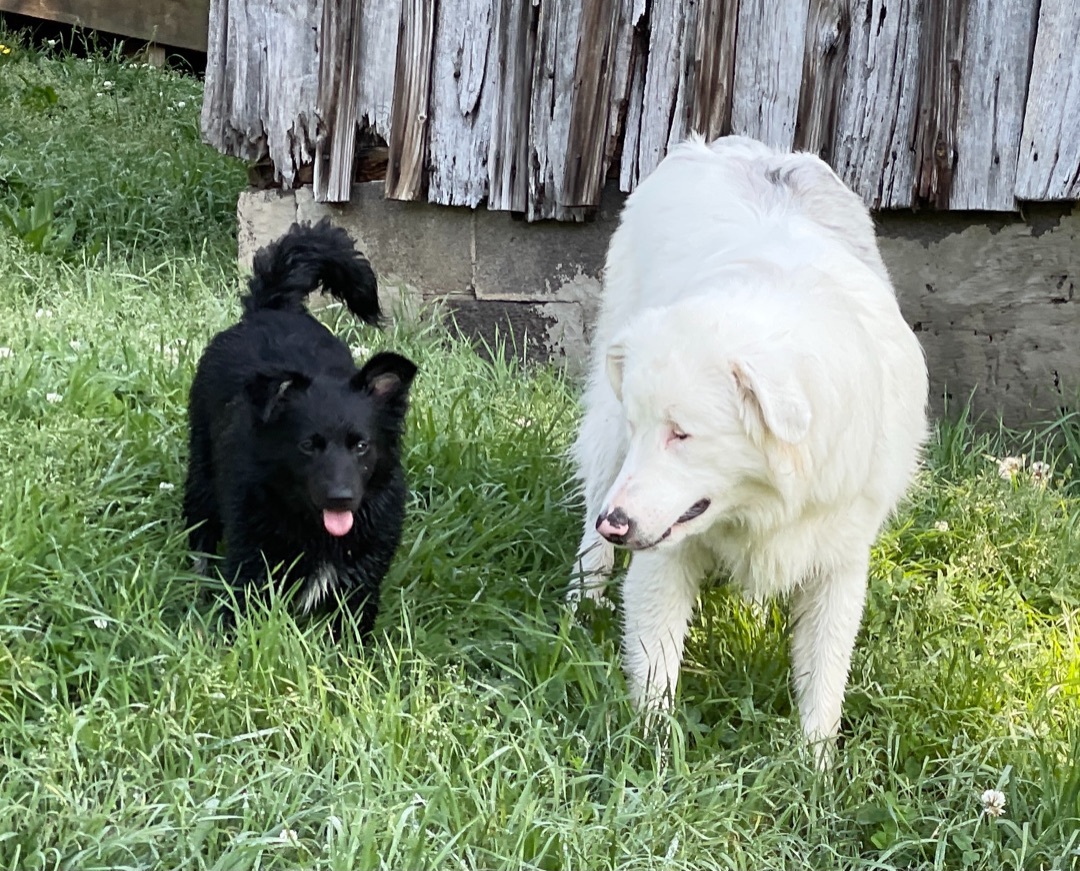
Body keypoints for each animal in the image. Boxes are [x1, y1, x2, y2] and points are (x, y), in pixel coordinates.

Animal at [181, 221, 416, 639]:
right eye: (308, 445)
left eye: (361, 445)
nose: (341, 499)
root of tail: (271, 307)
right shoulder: (252, 564)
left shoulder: (361, 580)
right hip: (202, 469)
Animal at [565, 132, 928, 752]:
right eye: (645, 429)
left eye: (683, 433)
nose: (618, 524)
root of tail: (726, 144)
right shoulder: (663, 549)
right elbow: (656, 668)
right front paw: (653, 752)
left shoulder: (840, 561)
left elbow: (824, 680)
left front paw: (813, 766)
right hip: (607, 436)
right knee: (593, 503)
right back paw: (582, 598)